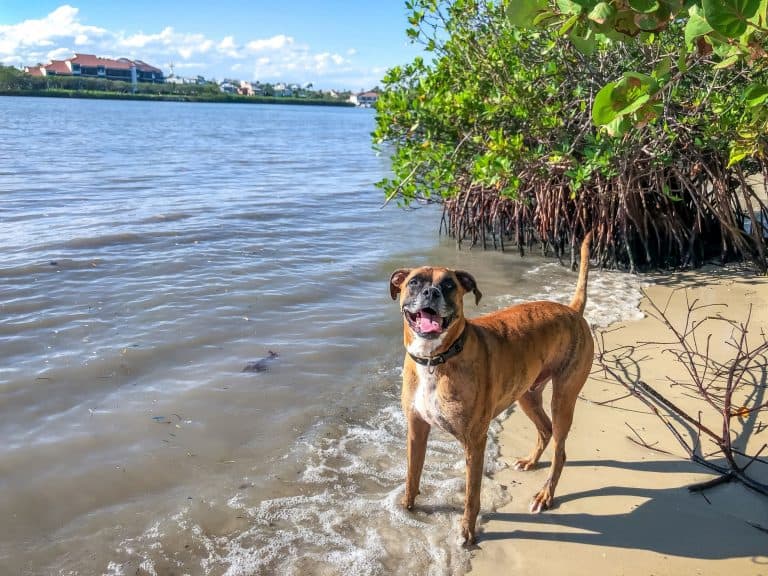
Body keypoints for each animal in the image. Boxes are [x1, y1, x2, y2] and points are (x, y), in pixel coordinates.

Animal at [390, 233, 592, 544]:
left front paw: (467, 531)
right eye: (414, 282)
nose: (431, 293)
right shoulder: (416, 429)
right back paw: (531, 461)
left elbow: (472, 496)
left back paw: (545, 494)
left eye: (449, 285)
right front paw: (406, 509)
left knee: (560, 449)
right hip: (527, 394)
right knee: (544, 429)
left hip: (563, 398)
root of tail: (570, 310)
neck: (437, 359)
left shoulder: (474, 442)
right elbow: (412, 475)